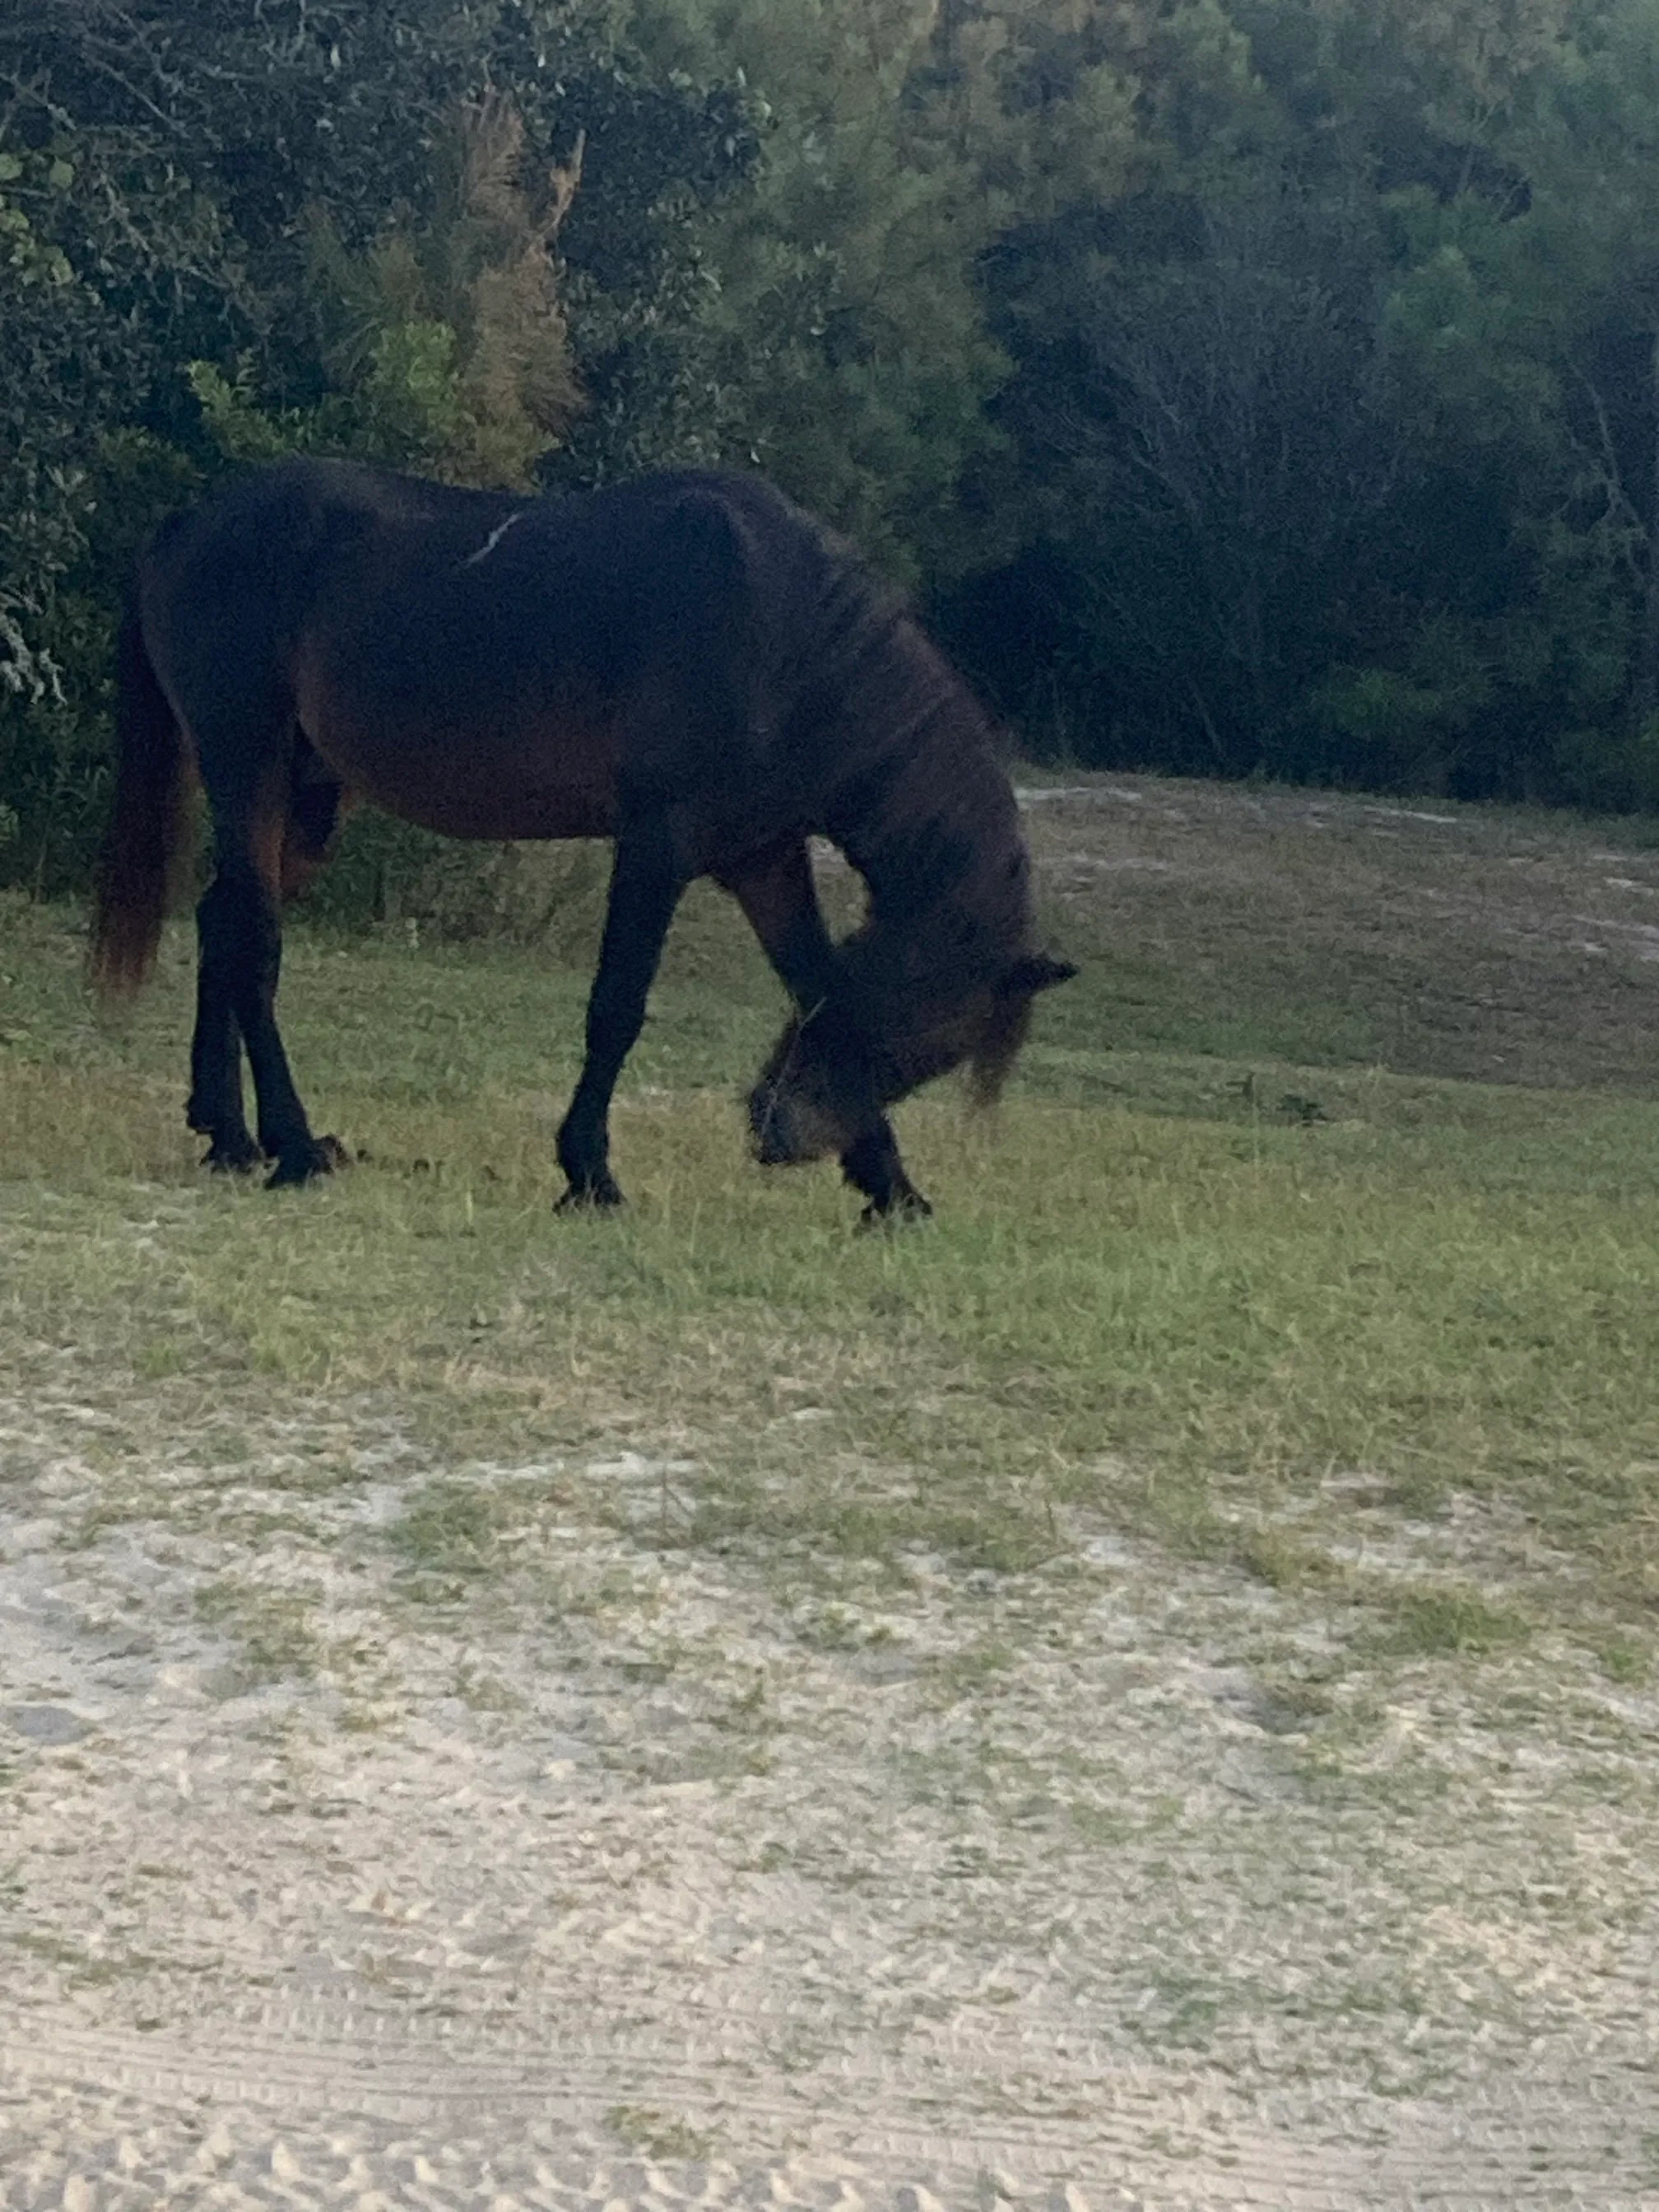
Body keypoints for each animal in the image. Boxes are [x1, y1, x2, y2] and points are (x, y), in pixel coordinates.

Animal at [90, 457, 1074, 1220]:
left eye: (937, 1051)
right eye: (920, 1032)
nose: (776, 1133)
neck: (787, 643)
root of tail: (188, 523)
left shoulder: (761, 860)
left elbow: (815, 982)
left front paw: (893, 1188)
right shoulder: (657, 846)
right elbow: (617, 1008)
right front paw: (590, 1174)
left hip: (305, 794)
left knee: (223, 924)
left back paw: (228, 1135)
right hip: (244, 762)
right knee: (254, 943)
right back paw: (294, 1149)